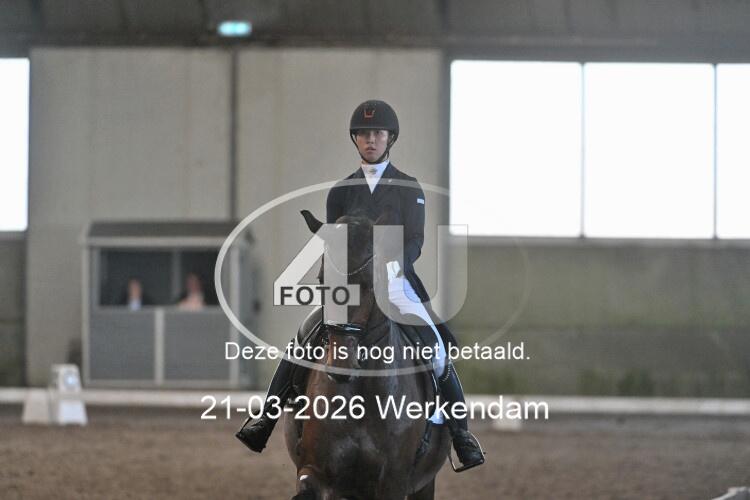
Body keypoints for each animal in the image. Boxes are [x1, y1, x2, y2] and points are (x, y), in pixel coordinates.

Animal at [283, 210, 451, 500]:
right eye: (322, 280)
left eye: (369, 283)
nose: (341, 364)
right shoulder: (317, 473)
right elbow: (307, 484)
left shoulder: (393, 481)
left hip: (423, 483)